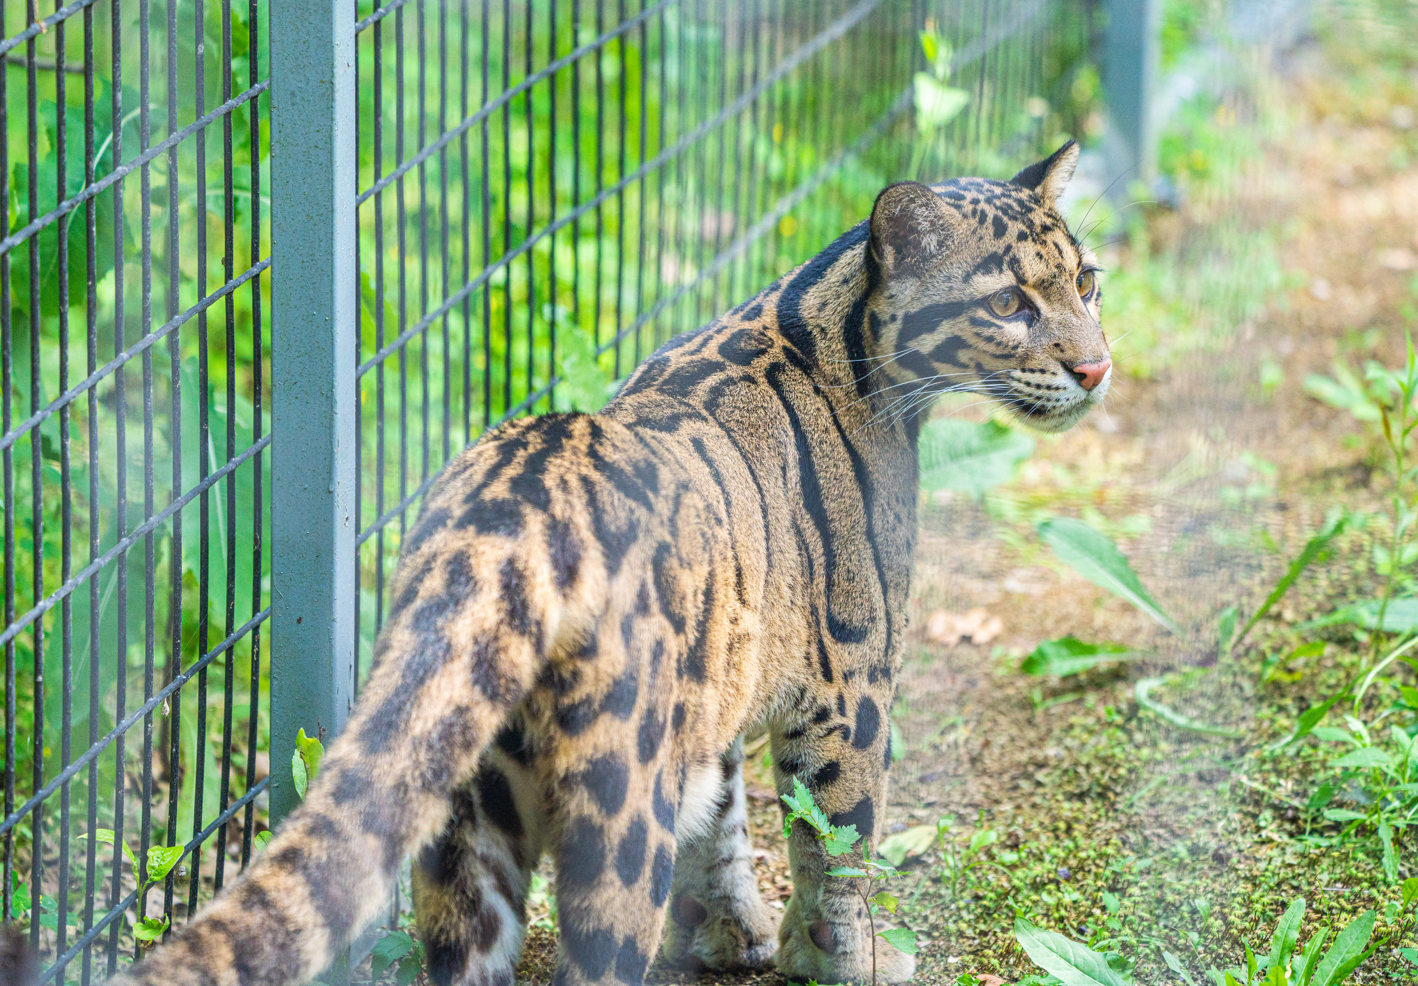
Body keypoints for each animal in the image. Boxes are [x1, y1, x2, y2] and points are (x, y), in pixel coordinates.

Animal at [102, 139, 1108, 986]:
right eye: (1010, 304)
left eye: (1088, 283)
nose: (1097, 368)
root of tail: (502, 518)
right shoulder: (852, 690)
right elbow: (839, 847)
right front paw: (842, 957)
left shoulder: (723, 682)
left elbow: (724, 821)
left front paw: (734, 936)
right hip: (616, 812)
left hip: (464, 809)